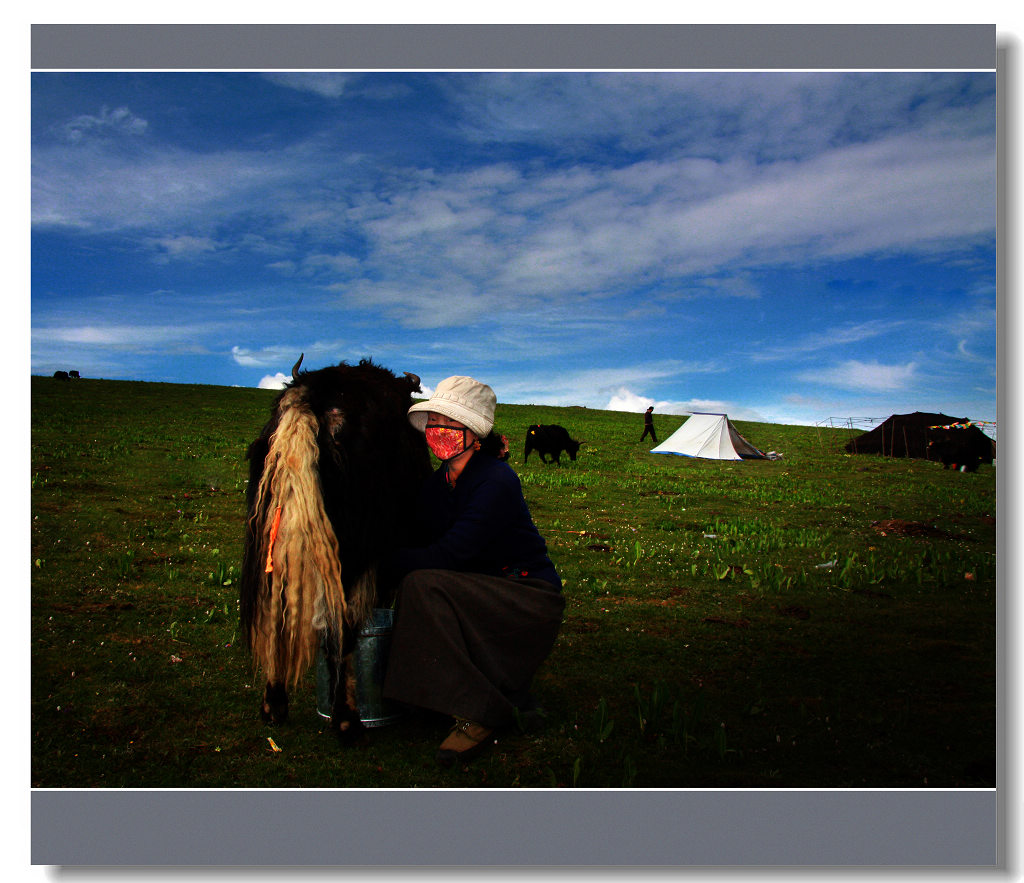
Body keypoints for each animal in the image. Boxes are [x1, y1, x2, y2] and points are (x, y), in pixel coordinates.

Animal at [239, 358, 432, 741]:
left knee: (275, 610)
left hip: (268, 534)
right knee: (341, 624)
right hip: (351, 550)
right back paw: (346, 722)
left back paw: (273, 705)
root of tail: (308, 398)